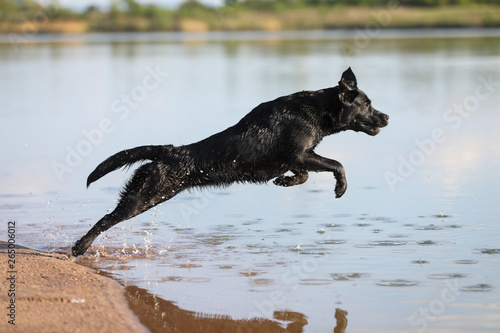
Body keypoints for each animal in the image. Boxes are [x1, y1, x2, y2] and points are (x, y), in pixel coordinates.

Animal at [72, 66, 388, 255]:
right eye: (366, 104)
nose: (386, 116)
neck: (316, 110)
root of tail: (168, 151)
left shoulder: (298, 158)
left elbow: (304, 174)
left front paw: (285, 181)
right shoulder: (301, 153)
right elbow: (337, 164)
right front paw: (340, 187)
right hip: (145, 196)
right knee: (105, 220)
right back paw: (79, 247)